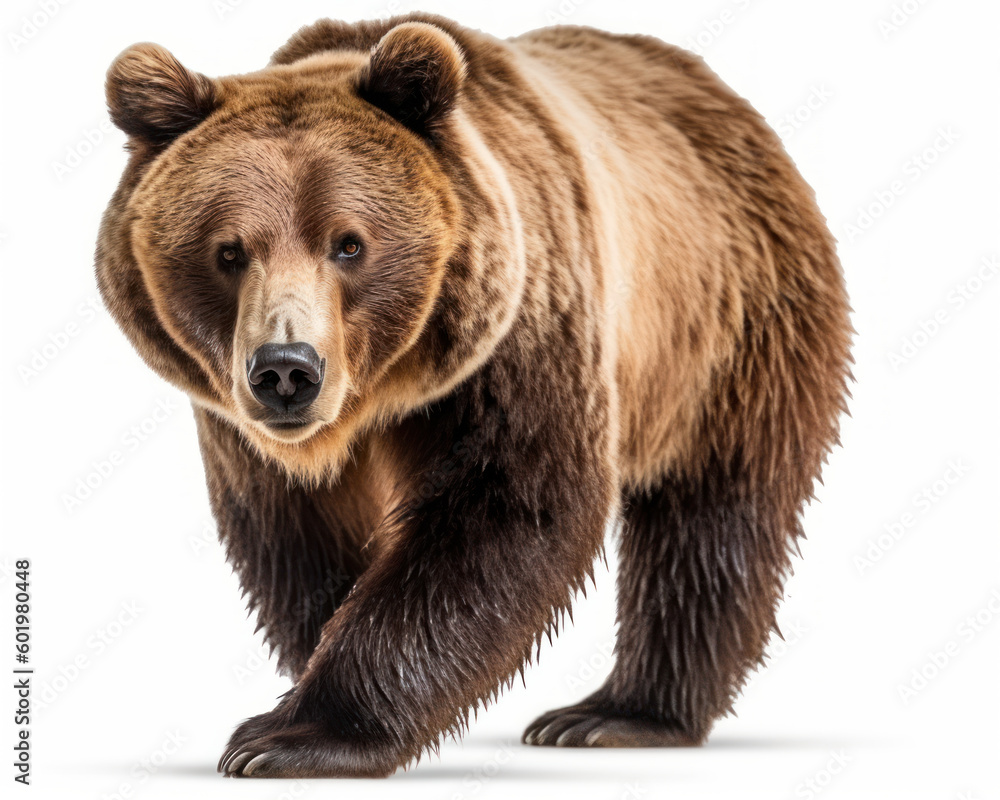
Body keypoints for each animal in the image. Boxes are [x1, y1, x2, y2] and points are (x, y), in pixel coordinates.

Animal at [96, 12, 852, 778]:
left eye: (348, 244)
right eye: (229, 251)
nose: (286, 370)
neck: (380, 395)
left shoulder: (519, 334)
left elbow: (505, 510)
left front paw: (290, 738)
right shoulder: (241, 431)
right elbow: (296, 537)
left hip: (729, 329)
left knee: (712, 523)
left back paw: (615, 714)